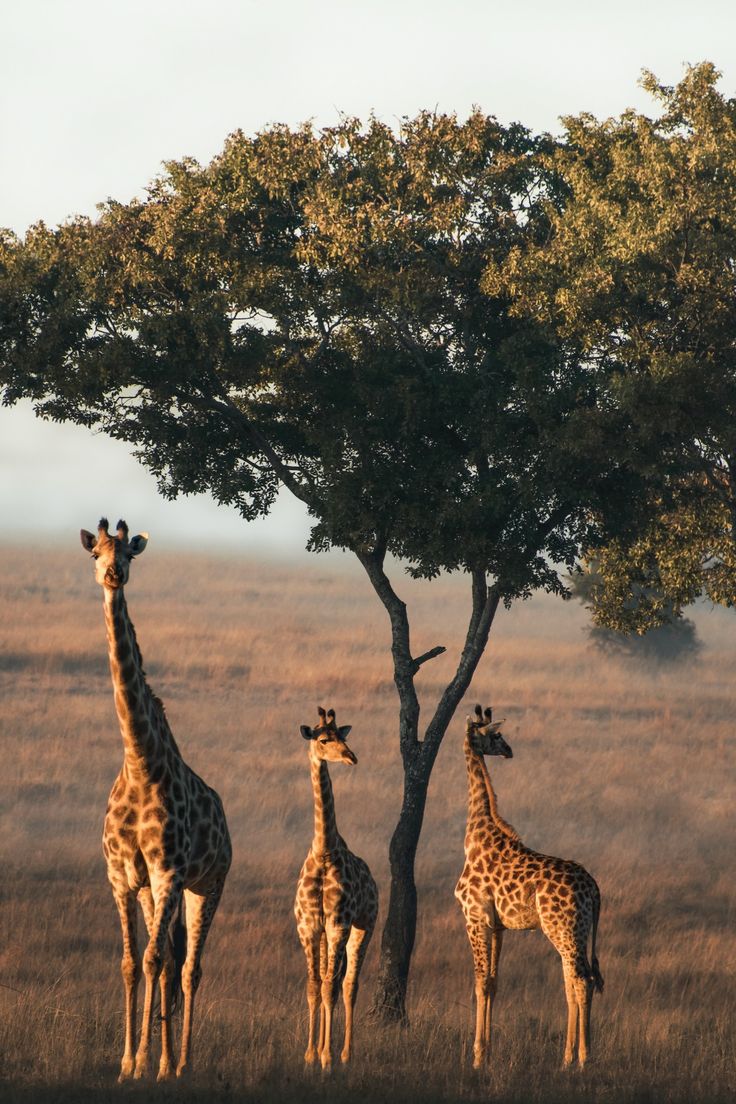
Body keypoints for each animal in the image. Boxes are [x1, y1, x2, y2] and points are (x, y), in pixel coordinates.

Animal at [80, 516, 231, 1077]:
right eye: (95, 552)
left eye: (130, 554)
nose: (113, 574)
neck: (141, 763)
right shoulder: (123, 875)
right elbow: (132, 961)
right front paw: (129, 1063)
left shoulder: (169, 871)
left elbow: (153, 960)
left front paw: (148, 1060)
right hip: (156, 890)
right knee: (167, 959)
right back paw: (163, 1060)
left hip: (207, 885)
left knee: (189, 966)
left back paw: (180, 1063)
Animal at [454, 706, 604, 1068]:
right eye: (496, 735)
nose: (509, 750)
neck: (476, 837)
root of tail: (595, 890)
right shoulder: (498, 926)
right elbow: (493, 982)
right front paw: (488, 1052)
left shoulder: (474, 917)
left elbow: (479, 982)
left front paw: (476, 1056)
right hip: (578, 932)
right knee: (576, 980)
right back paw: (567, 1057)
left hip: (562, 928)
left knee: (582, 980)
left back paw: (583, 1058)